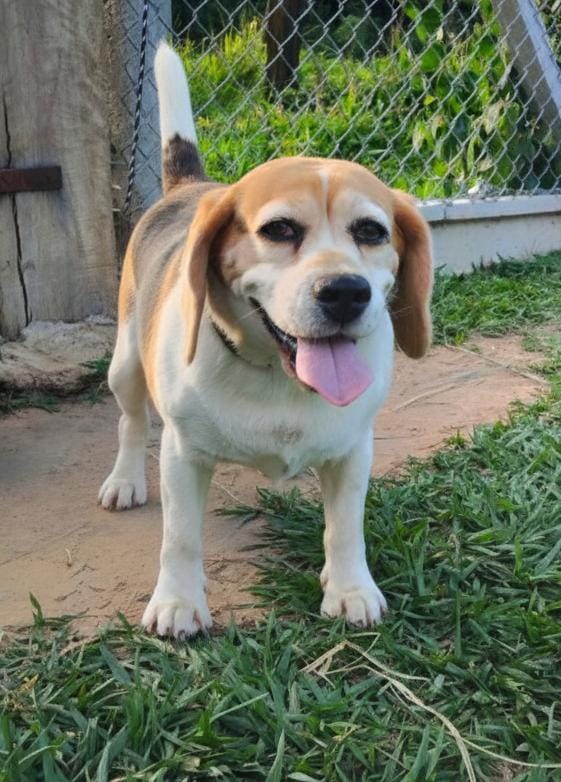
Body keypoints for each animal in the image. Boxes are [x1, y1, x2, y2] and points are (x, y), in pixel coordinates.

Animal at [99, 42, 433, 637]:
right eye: (279, 230)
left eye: (372, 232)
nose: (345, 292)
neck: (280, 377)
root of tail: (191, 188)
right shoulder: (183, 456)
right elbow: (180, 537)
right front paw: (178, 601)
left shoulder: (354, 451)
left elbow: (345, 528)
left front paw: (349, 587)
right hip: (125, 365)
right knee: (131, 423)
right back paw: (125, 479)